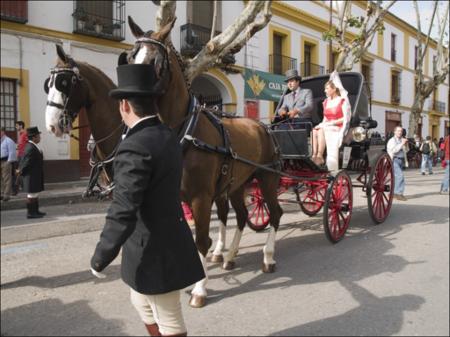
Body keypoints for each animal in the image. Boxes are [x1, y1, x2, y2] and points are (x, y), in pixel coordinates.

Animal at [121, 17, 284, 308]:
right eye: (130, 57)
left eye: (153, 62)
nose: (128, 105)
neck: (185, 131)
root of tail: (263, 127)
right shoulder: (179, 197)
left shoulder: (200, 197)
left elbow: (201, 240)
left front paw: (199, 288)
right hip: (237, 184)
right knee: (242, 216)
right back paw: (230, 256)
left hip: (267, 179)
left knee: (275, 214)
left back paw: (267, 256)